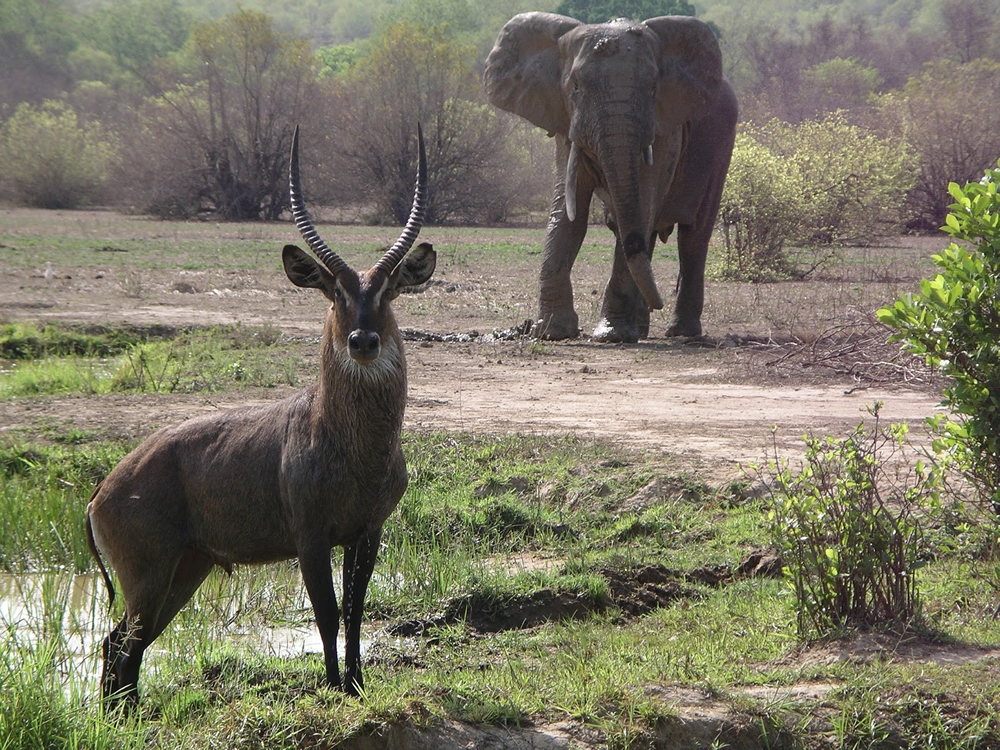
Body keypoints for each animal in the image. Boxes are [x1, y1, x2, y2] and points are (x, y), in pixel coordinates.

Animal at [482, 13, 736, 342]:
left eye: (653, 88)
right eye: (575, 86)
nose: (659, 303)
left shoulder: (662, 127)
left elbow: (642, 204)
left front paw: (611, 335)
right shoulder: (565, 120)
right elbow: (567, 214)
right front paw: (552, 332)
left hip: (720, 147)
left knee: (692, 237)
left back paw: (680, 332)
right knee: (637, 230)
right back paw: (643, 327)